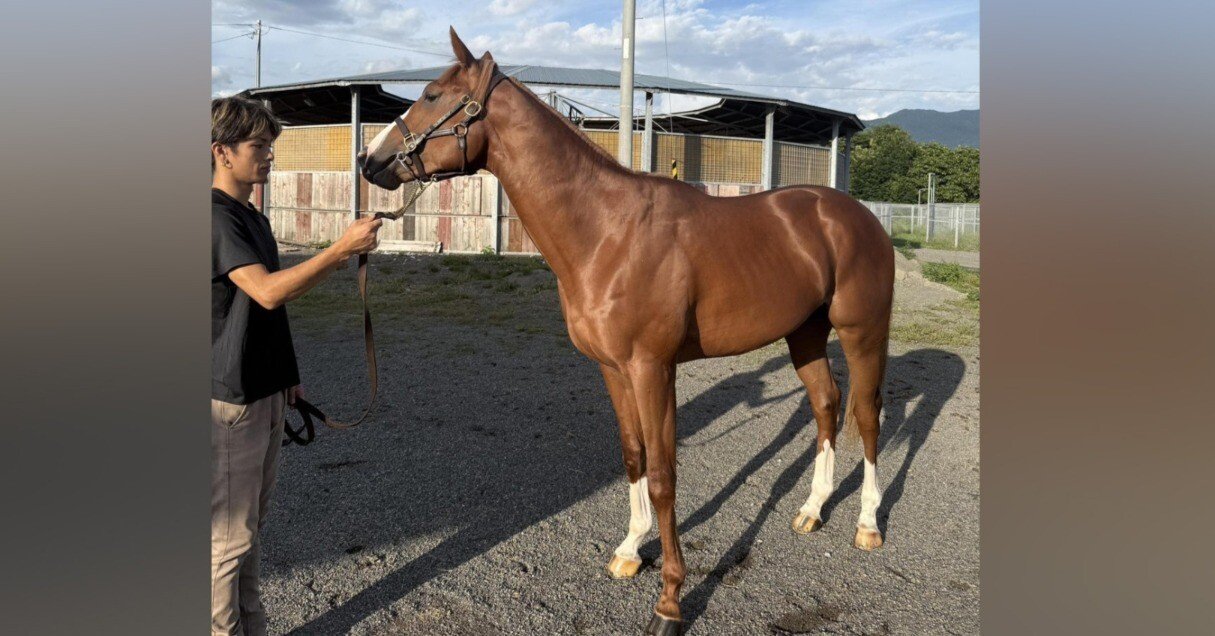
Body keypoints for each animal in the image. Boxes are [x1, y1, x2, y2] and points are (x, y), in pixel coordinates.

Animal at [358, 28, 895, 636]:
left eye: (430, 95)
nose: (369, 161)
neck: (607, 232)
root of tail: (854, 215)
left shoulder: (651, 369)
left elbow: (663, 476)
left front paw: (670, 601)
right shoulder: (613, 369)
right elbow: (633, 456)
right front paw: (632, 550)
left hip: (861, 332)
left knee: (866, 416)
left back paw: (867, 523)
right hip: (803, 333)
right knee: (827, 405)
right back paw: (811, 509)